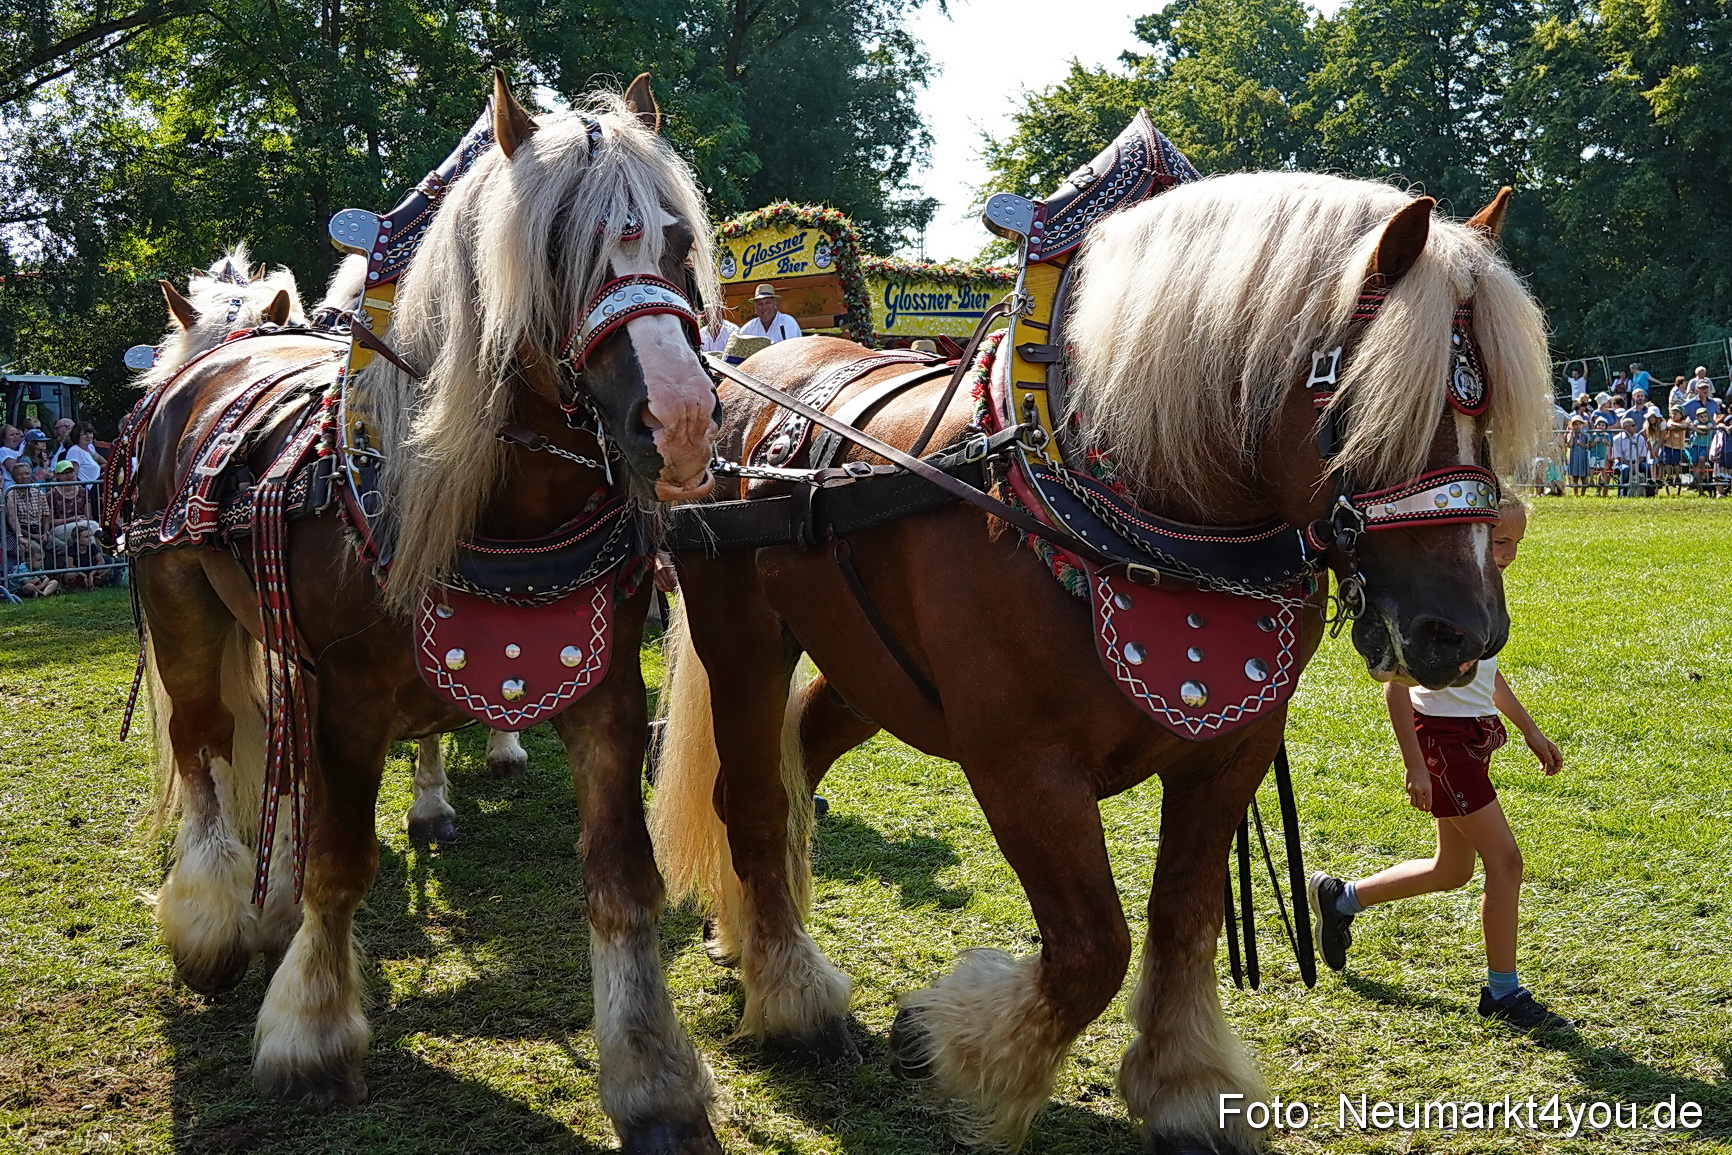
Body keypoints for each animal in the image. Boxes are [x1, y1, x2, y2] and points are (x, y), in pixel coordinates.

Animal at [126, 73, 729, 1152]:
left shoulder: (605, 692)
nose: (682, 421)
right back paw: (211, 921)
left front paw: (653, 1077)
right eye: (555, 246)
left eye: (674, 241)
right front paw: (310, 1035)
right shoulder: (347, 694)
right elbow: (338, 860)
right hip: (183, 602)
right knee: (202, 745)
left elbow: (622, 879)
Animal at [648, 173, 1549, 1152]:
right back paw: (791, 998)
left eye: (1489, 416)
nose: (1466, 633)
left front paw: (1186, 1087)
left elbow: (1181, 918)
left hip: (869, 669)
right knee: (753, 800)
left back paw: (745, 937)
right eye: (1368, 405)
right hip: (741, 635)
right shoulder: (1020, 762)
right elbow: (1092, 946)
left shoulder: (1228, 751)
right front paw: (951, 1046)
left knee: (799, 754)